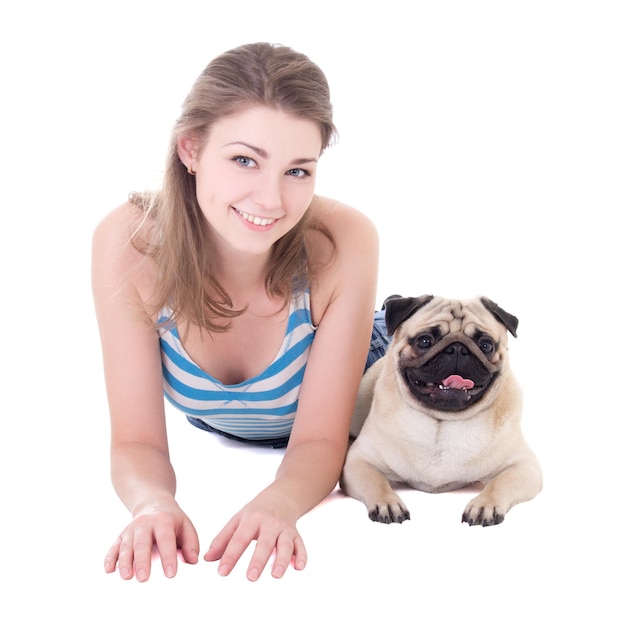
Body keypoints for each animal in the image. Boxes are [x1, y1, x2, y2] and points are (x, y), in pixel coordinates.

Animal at [338, 294, 540, 524]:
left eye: (486, 345)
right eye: (425, 341)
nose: (458, 349)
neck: (443, 423)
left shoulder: (525, 466)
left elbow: (498, 484)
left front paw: (484, 505)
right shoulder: (358, 462)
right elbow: (376, 482)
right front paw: (387, 503)